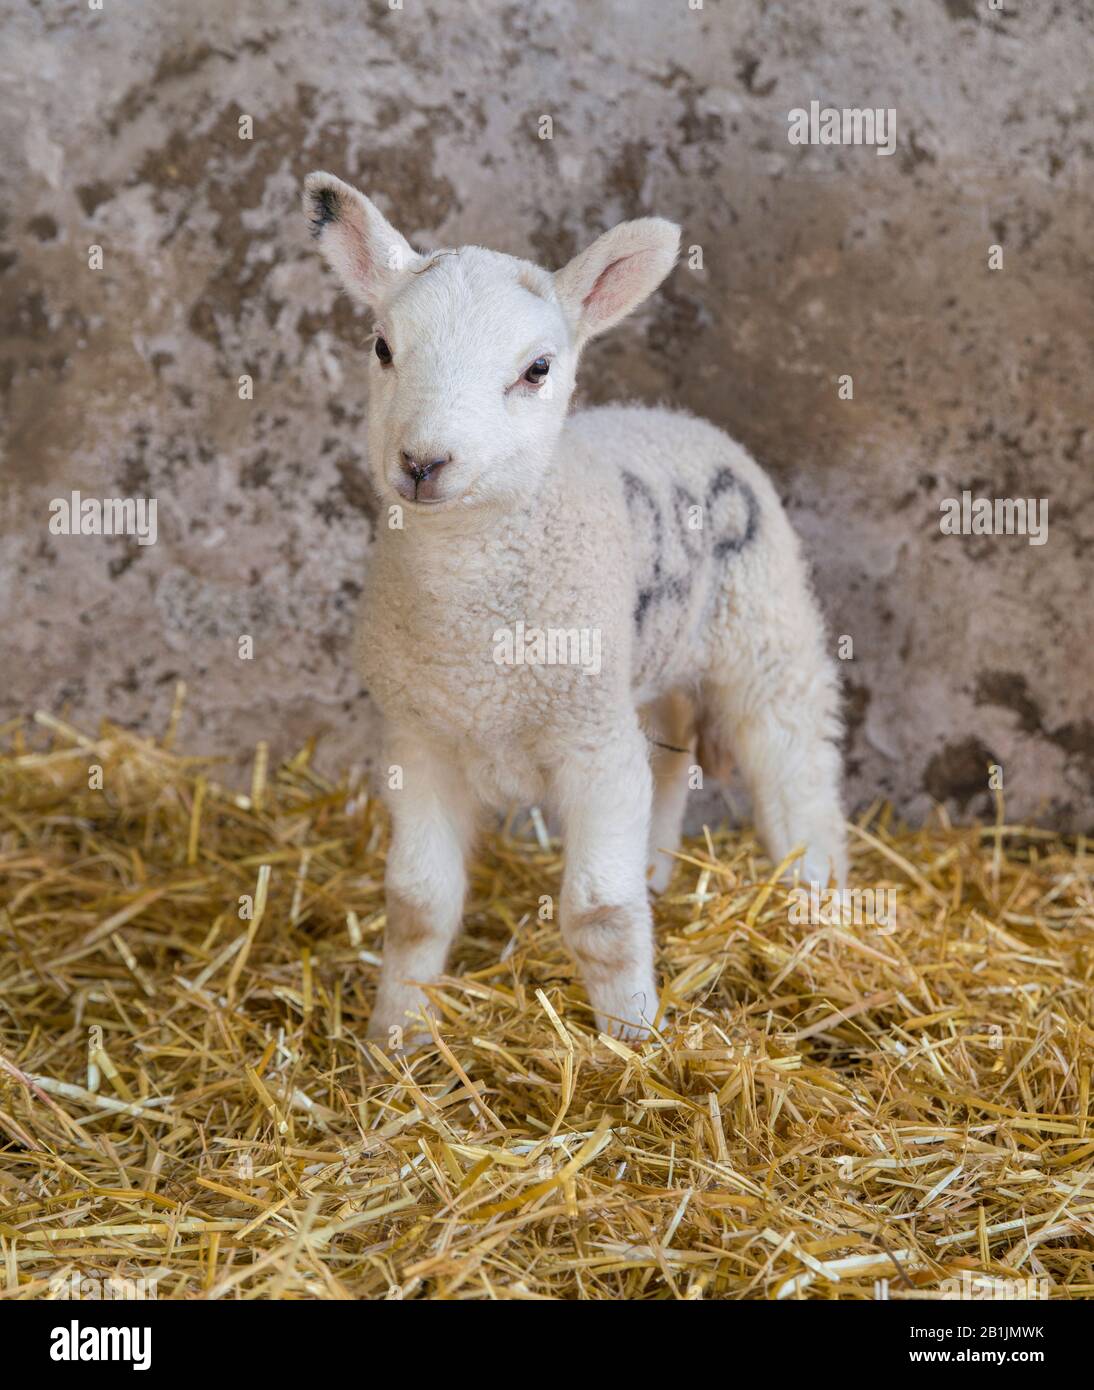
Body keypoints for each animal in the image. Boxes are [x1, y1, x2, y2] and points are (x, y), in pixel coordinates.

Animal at [304, 170, 850, 1045]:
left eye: (537, 368)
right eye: (383, 348)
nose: (423, 463)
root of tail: (669, 417)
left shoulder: (590, 745)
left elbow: (599, 914)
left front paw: (635, 1043)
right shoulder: (421, 741)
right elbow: (417, 906)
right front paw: (396, 1039)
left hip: (763, 628)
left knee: (798, 767)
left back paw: (818, 909)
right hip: (644, 669)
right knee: (670, 758)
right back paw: (660, 873)